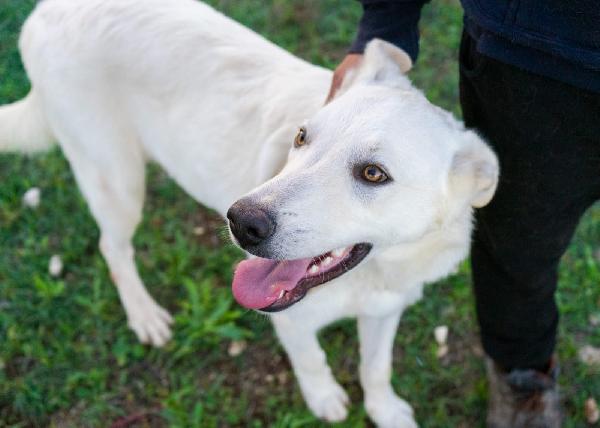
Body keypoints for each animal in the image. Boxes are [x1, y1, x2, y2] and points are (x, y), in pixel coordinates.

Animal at [0, 1, 496, 426]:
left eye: (373, 173)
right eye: (301, 136)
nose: (241, 221)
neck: (374, 275)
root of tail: (44, 11)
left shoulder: (385, 309)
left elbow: (376, 368)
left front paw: (385, 410)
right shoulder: (293, 322)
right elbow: (312, 359)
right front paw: (324, 399)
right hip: (117, 180)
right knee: (113, 249)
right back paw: (144, 315)